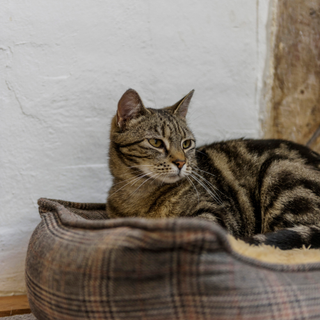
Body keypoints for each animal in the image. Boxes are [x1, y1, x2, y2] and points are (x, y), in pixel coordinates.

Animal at [107, 88, 320, 250]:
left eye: (186, 144)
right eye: (156, 142)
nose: (181, 162)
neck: (141, 194)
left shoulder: (218, 214)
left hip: (279, 169)